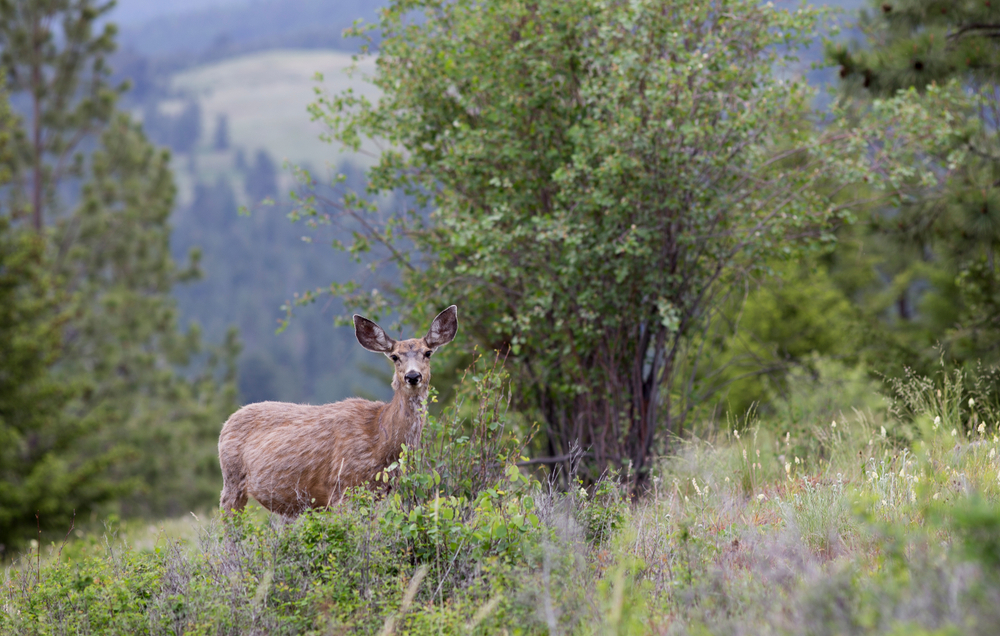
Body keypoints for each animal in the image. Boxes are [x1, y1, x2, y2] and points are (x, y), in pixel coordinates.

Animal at [218, 306, 458, 517]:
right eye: (395, 357)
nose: (413, 376)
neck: (380, 438)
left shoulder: (379, 493)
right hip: (232, 478)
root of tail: (227, 422)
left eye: (428, 353)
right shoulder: (344, 486)